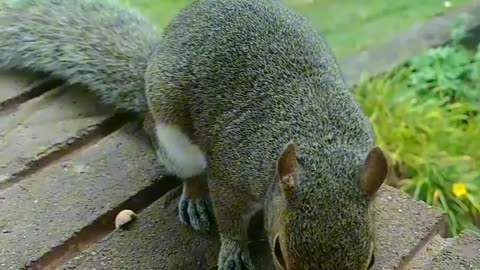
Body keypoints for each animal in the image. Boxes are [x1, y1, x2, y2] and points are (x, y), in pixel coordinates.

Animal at [0, 1, 388, 268]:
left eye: (370, 258)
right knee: (189, 173)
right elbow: (229, 218)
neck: (321, 139)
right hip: (173, 139)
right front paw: (233, 254)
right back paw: (195, 198)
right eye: (278, 251)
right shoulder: (232, 174)